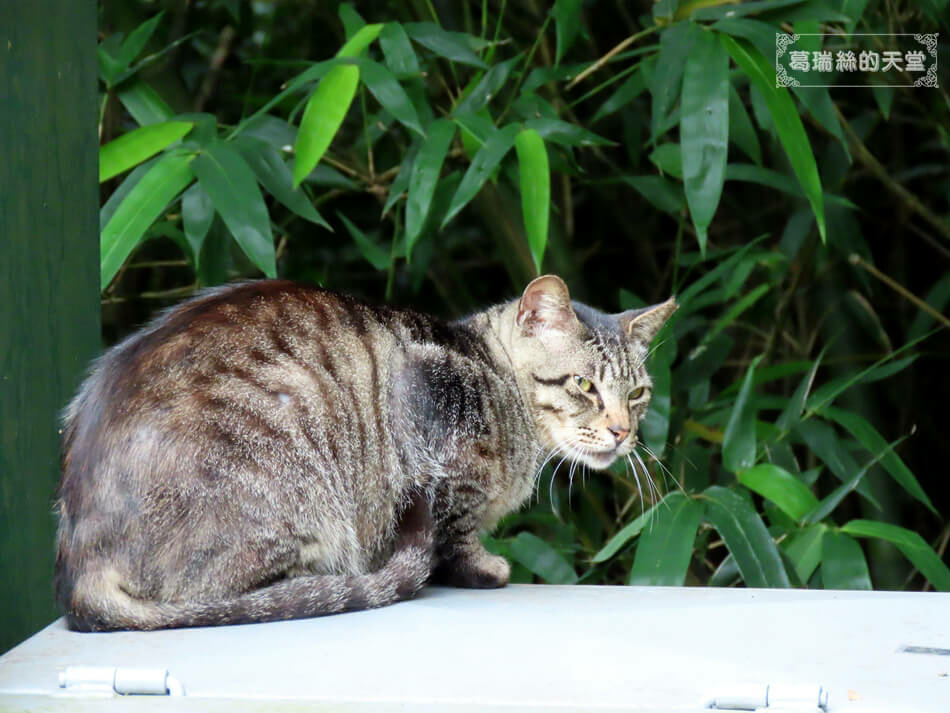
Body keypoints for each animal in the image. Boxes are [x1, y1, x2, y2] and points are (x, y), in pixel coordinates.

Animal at [55, 274, 676, 628]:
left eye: (638, 394)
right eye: (584, 385)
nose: (622, 431)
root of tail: (82, 565)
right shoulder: (439, 447)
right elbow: (456, 535)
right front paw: (482, 568)